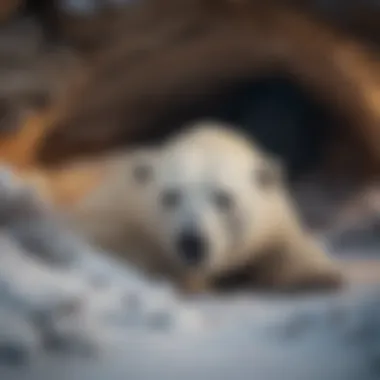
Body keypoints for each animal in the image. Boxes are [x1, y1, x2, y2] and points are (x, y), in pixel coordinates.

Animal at [67, 120, 344, 292]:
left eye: (223, 198)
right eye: (171, 196)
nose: (192, 242)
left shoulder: (274, 218)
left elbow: (289, 247)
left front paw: (322, 276)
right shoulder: (117, 213)